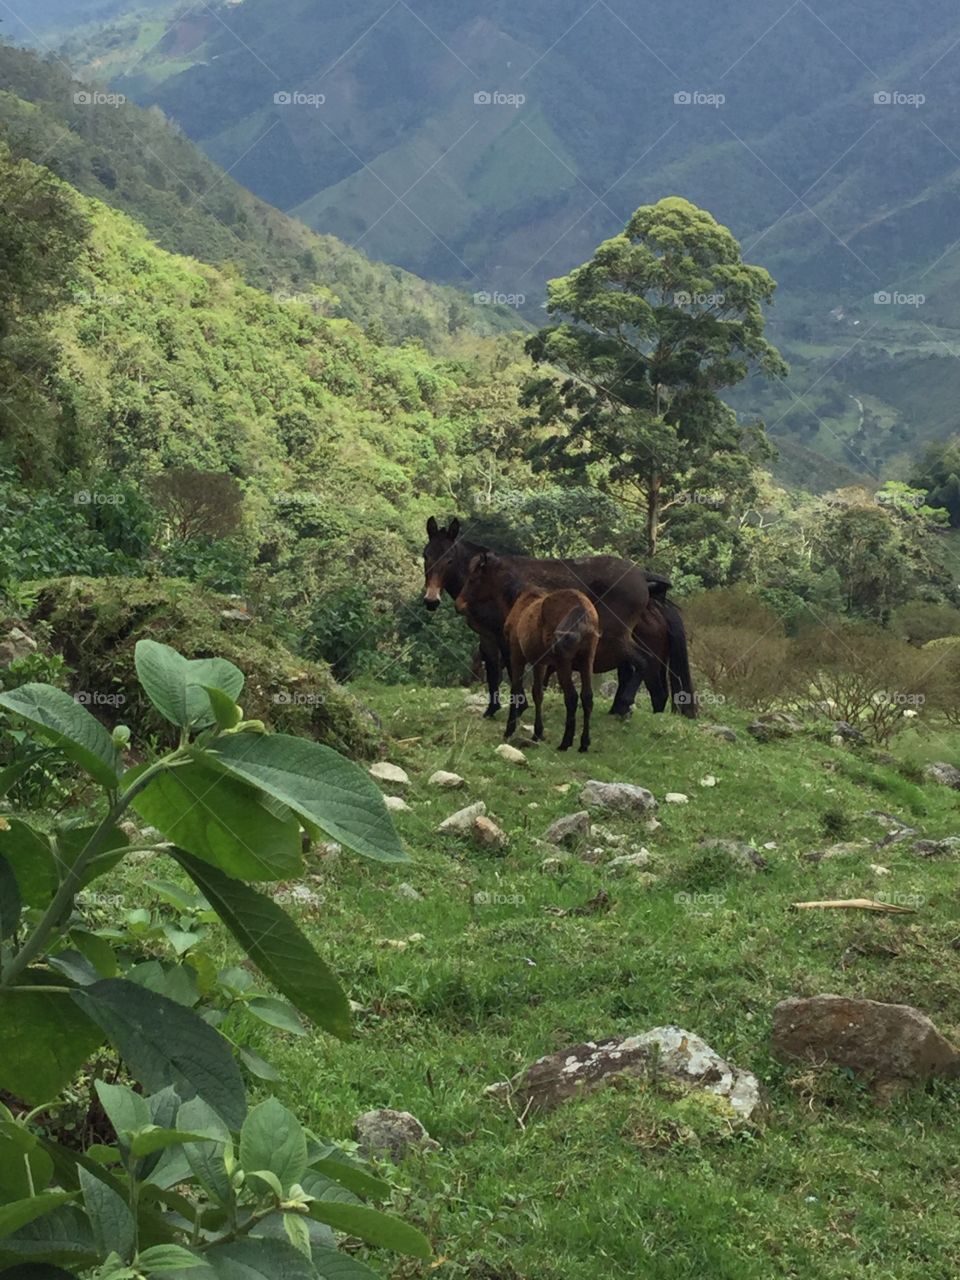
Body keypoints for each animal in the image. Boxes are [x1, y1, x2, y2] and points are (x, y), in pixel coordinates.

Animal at [422, 516, 696, 716]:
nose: (431, 600)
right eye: (426, 555)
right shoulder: (487, 636)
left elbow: (509, 668)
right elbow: (492, 671)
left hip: (619, 639)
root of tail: (642, 577)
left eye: (449, 559)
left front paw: (519, 705)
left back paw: (623, 707)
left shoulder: (504, 634)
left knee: (645, 674)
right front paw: (492, 709)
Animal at [456, 553, 600, 751]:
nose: (459, 604)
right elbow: (537, 694)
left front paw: (509, 730)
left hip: (564, 664)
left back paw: (565, 742)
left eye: (473, 579)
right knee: (587, 697)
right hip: (587, 661)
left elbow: (516, 689)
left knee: (571, 697)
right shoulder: (540, 663)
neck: (520, 599)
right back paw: (584, 743)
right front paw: (537, 733)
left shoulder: (517, 656)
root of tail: (582, 608)